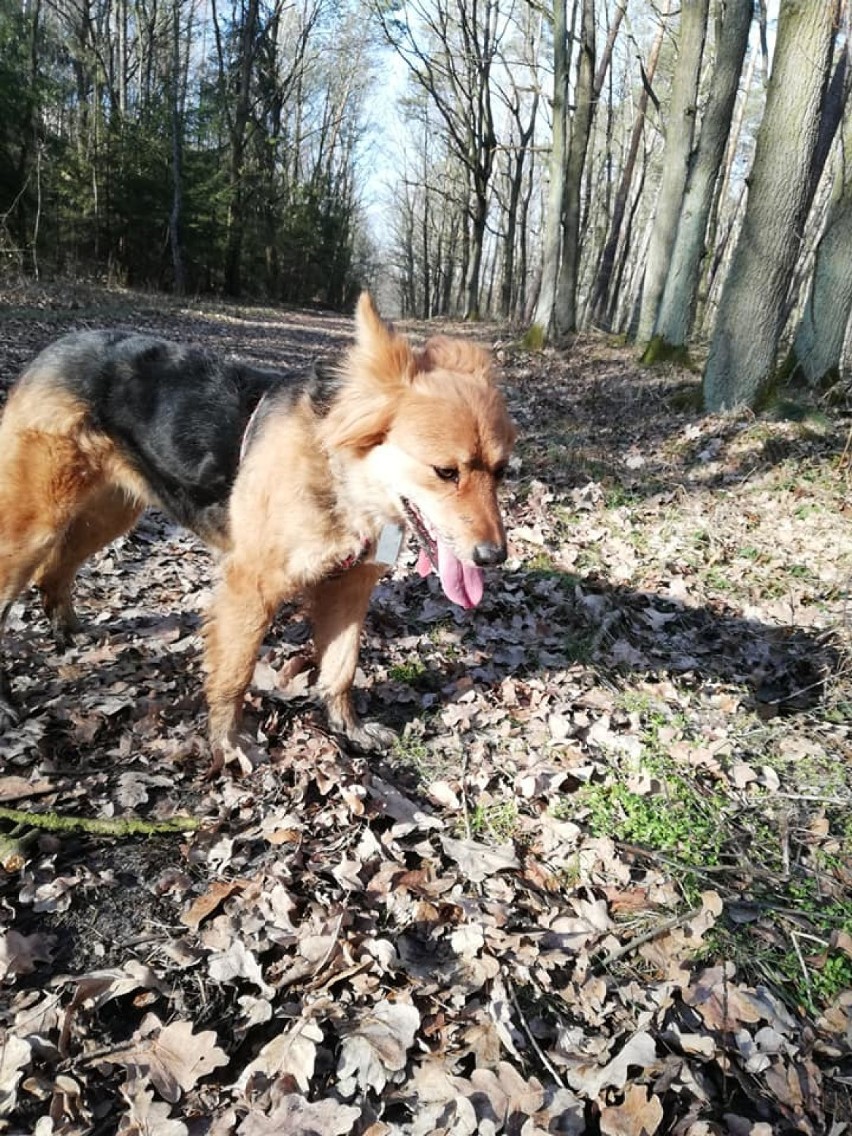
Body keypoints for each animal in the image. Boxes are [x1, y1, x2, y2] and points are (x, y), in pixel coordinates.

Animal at [0, 293, 518, 772]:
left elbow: (341, 668)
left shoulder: (350, 587)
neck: (339, 471)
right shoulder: (250, 587)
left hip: (109, 514)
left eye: (501, 472)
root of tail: (55, 347)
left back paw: (67, 632)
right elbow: (234, 672)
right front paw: (229, 743)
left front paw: (346, 728)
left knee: (55, 571)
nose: (493, 557)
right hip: (33, 528)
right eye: (445, 472)